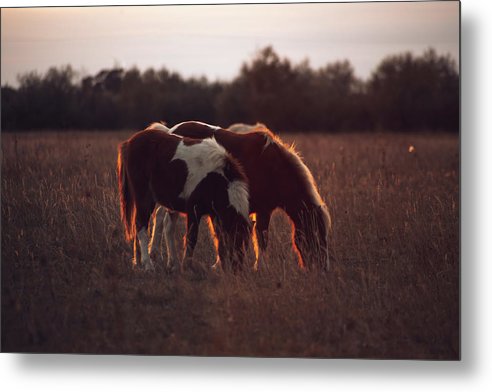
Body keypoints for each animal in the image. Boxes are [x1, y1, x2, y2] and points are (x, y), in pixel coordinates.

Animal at [117, 124, 252, 272]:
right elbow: (191, 238)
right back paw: (148, 265)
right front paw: (186, 266)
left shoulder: (214, 214)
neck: (215, 179)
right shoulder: (194, 210)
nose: (237, 269)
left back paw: (138, 262)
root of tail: (129, 143)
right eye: (236, 237)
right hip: (144, 199)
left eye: (246, 243)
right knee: (141, 225)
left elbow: (218, 238)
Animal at [152, 121, 332, 272]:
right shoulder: (263, 210)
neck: (272, 168)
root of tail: (170, 131)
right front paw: (261, 266)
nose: (323, 267)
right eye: (315, 234)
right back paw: (163, 260)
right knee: (164, 223)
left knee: (165, 223)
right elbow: (261, 237)